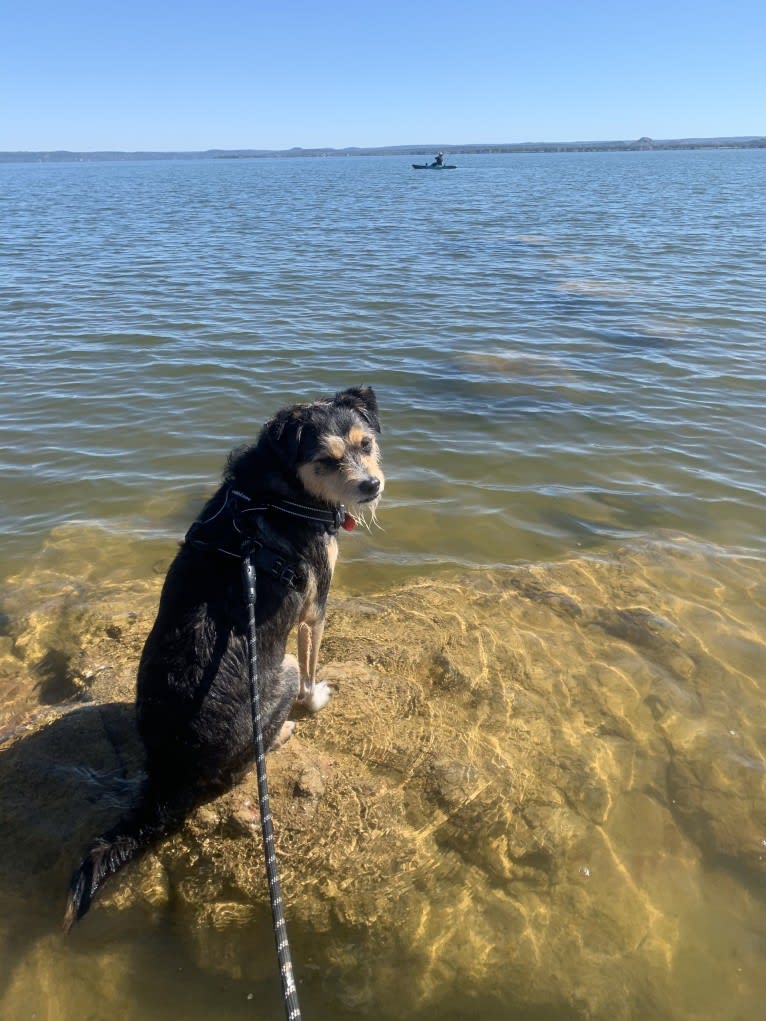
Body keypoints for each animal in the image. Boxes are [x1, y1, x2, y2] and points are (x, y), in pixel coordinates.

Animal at [65, 385, 384, 931]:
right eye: (325, 459)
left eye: (366, 444)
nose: (372, 485)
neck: (283, 491)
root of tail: (171, 772)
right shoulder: (315, 609)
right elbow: (313, 666)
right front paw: (316, 700)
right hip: (278, 672)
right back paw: (282, 730)